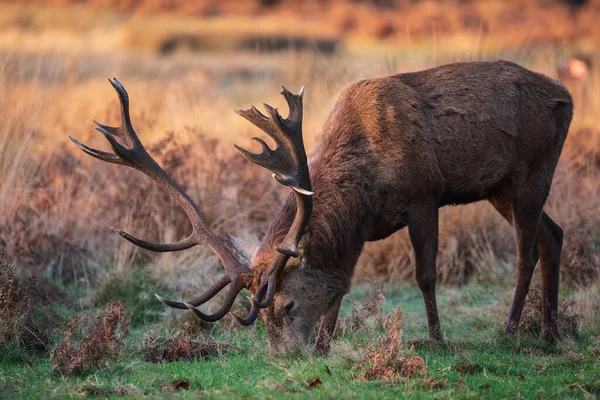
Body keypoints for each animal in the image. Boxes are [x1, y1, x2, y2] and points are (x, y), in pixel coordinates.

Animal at [72, 61, 576, 354]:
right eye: (261, 316)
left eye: (288, 304)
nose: (285, 357)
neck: (367, 183)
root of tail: (566, 95)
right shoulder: (360, 230)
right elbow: (341, 284)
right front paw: (325, 347)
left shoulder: (424, 196)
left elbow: (425, 274)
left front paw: (436, 339)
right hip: (500, 186)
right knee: (553, 235)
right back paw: (550, 332)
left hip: (532, 171)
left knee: (527, 250)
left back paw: (511, 330)